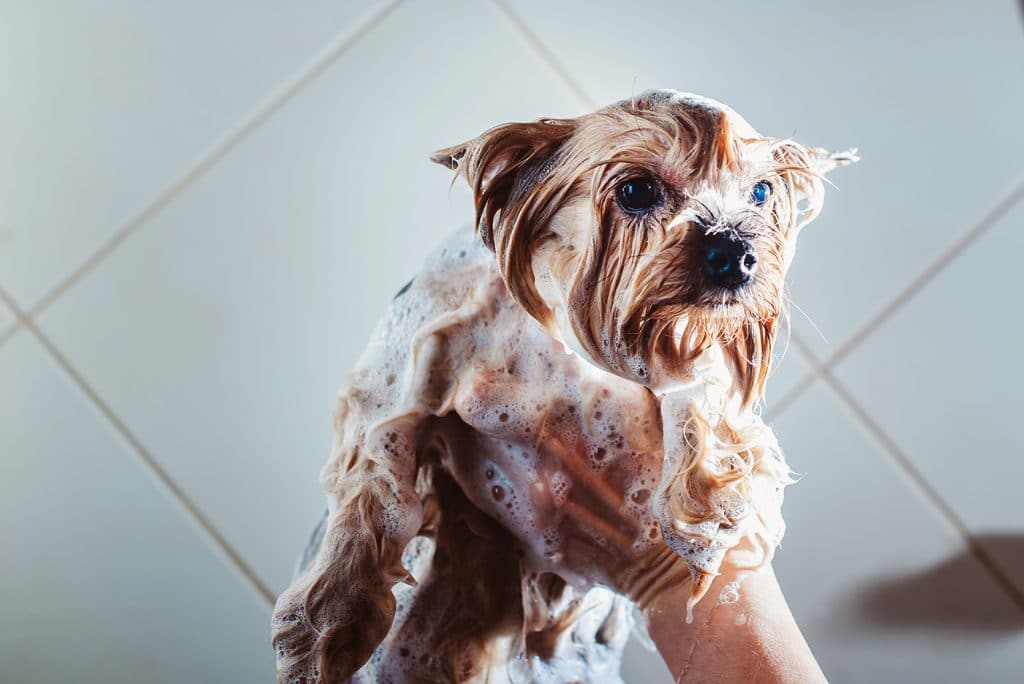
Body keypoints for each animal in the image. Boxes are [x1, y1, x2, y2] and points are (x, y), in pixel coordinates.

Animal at [270, 90, 856, 684]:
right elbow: (373, 471)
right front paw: (329, 623)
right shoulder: (407, 364)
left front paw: (705, 500)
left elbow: (702, 390)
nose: (735, 255)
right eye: (636, 190)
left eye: (760, 192)